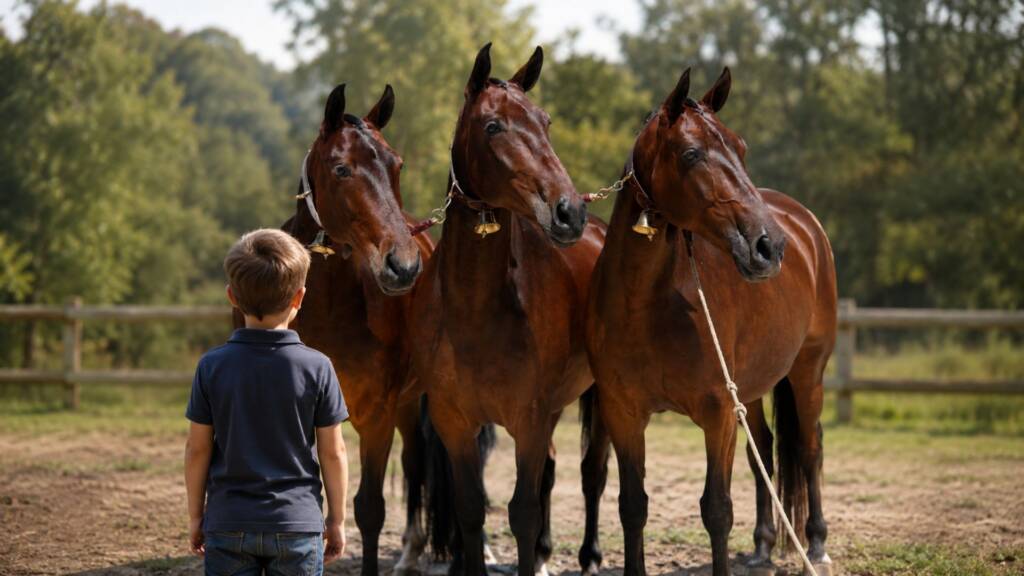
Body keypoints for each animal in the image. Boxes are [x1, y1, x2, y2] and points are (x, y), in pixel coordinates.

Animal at [280, 84, 433, 576]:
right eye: (341, 168)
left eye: (397, 165)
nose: (403, 266)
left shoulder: (375, 414)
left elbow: (369, 508)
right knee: (416, 461)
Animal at [409, 43, 606, 576]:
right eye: (493, 125)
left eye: (545, 121)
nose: (568, 212)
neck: (476, 312)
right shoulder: (456, 423)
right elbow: (470, 509)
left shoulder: (529, 419)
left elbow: (522, 511)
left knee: (592, 472)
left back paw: (588, 554)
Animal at [582, 67, 838, 576]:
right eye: (691, 153)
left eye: (741, 148)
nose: (769, 246)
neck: (646, 304)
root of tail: (806, 226)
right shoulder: (623, 413)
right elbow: (632, 506)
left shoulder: (717, 414)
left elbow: (717, 510)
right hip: (753, 387)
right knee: (765, 450)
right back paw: (762, 545)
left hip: (808, 373)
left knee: (810, 447)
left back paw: (816, 544)